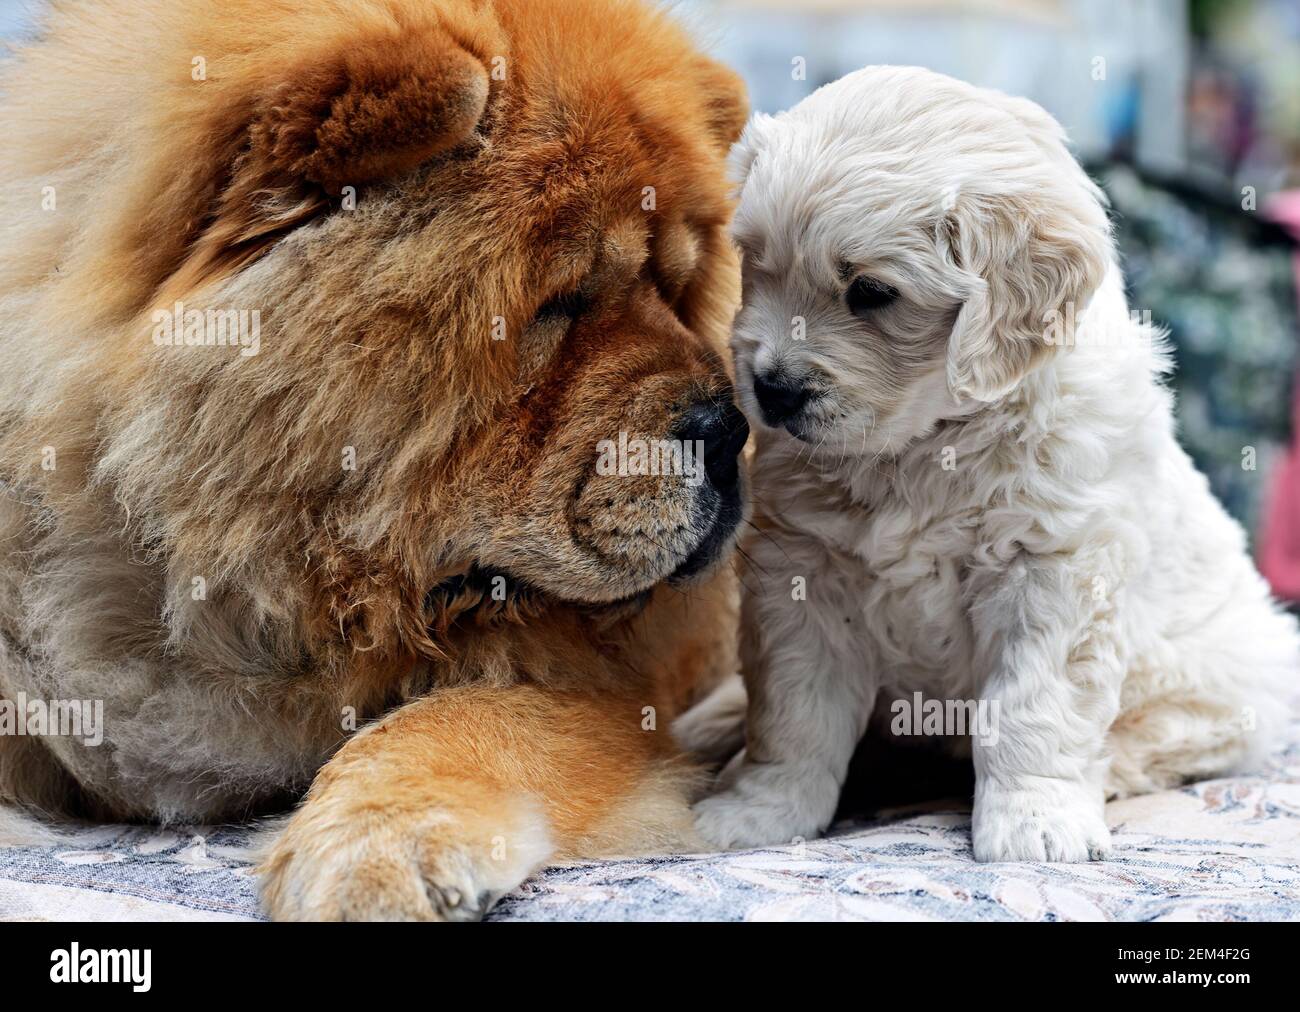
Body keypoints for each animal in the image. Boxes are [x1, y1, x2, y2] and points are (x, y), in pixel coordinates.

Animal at [0, 0, 748, 915]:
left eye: (676, 291)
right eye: (564, 303)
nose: (730, 427)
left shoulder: (604, 688)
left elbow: (453, 724)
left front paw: (373, 853)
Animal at [686, 65, 1294, 858]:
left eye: (871, 293)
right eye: (756, 263)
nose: (772, 389)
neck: (924, 444)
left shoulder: (1054, 568)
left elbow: (1034, 709)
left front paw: (1037, 821)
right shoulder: (804, 571)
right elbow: (794, 711)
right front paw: (761, 810)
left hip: (1225, 668)